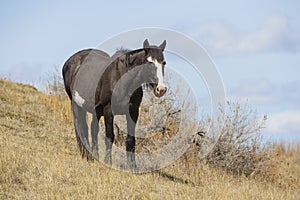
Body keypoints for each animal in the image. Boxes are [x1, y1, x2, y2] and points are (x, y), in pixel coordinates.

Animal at [62, 39, 168, 170]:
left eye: (164, 63)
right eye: (149, 62)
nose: (161, 89)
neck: (123, 79)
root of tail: (69, 62)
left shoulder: (133, 112)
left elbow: (131, 139)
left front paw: (133, 166)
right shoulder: (108, 111)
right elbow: (110, 136)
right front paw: (108, 162)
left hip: (96, 110)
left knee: (93, 129)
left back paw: (94, 155)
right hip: (76, 105)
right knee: (81, 128)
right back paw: (87, 156)